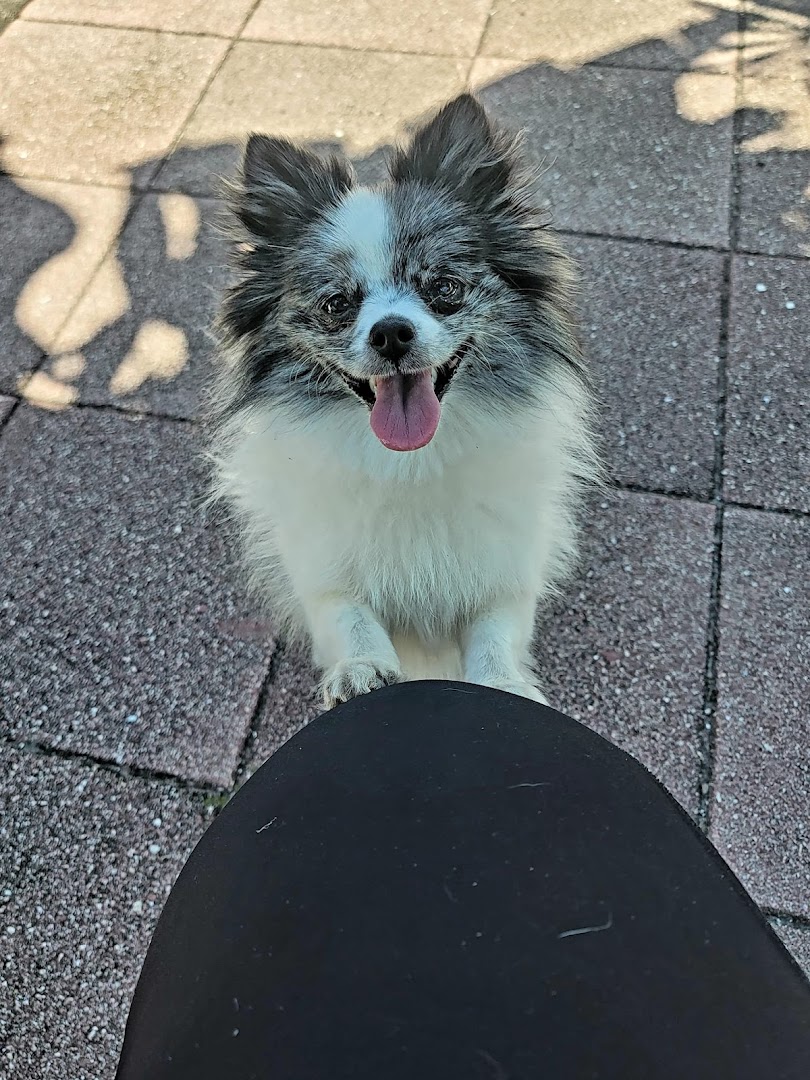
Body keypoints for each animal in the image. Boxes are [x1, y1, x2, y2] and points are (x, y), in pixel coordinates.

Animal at [209, 94, 600, 708]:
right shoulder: (324, 570)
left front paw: (505, 684)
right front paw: (361, 670)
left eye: (444, 288)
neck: (412, 462)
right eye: (336, 305)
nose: (390, 332)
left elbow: (497, 633)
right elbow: (347, 616)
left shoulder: (504, 570)